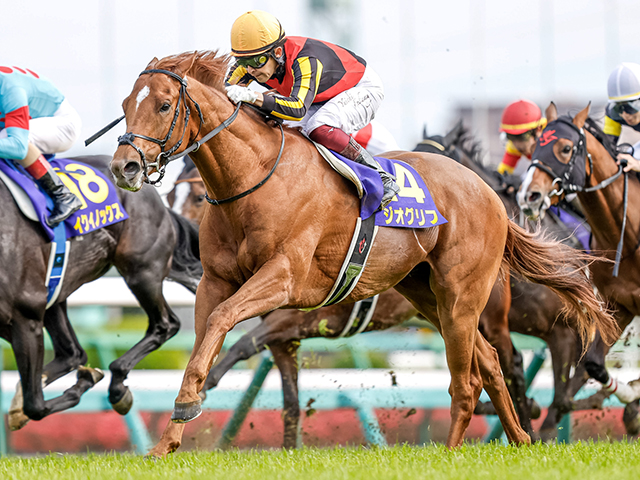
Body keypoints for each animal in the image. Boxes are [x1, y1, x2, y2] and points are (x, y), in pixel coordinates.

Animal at [1, 156, 201, 430]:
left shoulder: (25, 317)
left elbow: (36, 406)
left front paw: (85, 381)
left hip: (142, 271)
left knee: (165, 324)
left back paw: (116, 385)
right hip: (56, 293)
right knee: (72, 353)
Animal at [107, 52, 616, 458]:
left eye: (164, 105)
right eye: (125, 105)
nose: (123, 167)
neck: (254, 179)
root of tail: (490, 195)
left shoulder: (285, 284)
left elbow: (223, 328)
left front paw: (188, 406)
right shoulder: (219, 284)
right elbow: (208, 348)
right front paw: (168, 437)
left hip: (462, 296)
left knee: (470, 377)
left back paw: (458, 449)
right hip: (426, 295)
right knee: (488, 361)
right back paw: (521, 438)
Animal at [516, 103, 640, 434]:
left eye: (565, 148)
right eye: (536, 145)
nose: (528, 195)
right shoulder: (618, 305)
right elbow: (594, 365)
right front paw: (632, 396)